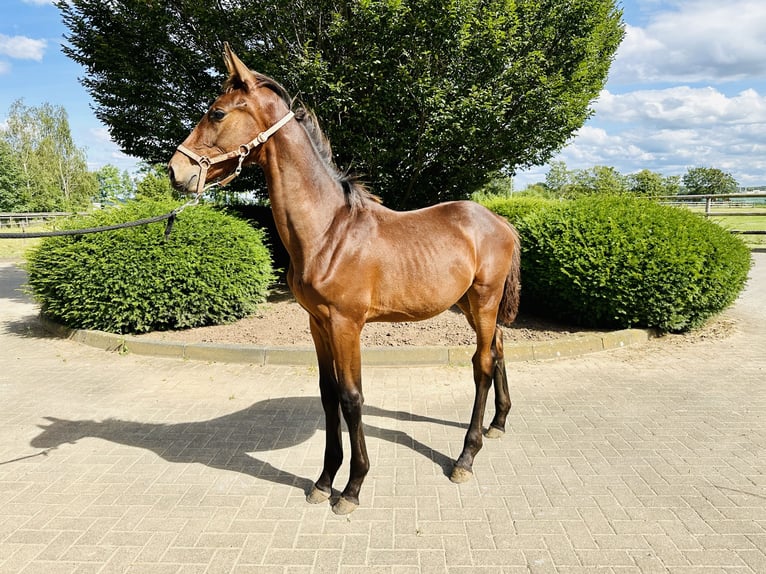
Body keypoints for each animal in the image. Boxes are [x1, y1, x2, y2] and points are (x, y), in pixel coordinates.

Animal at [169, 42, 524, 516]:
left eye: (217, 112)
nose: (176, 171)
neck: (328, 231)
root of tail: (500, 221)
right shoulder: (318, 323)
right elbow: (328, 394)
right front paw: (324, 481)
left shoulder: (346, 325)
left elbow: (352, 398)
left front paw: (352, 487)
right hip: (468, 304)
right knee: (499, 350)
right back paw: (498, 423)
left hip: (483, 301)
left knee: (482, 364)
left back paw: (465, 457)